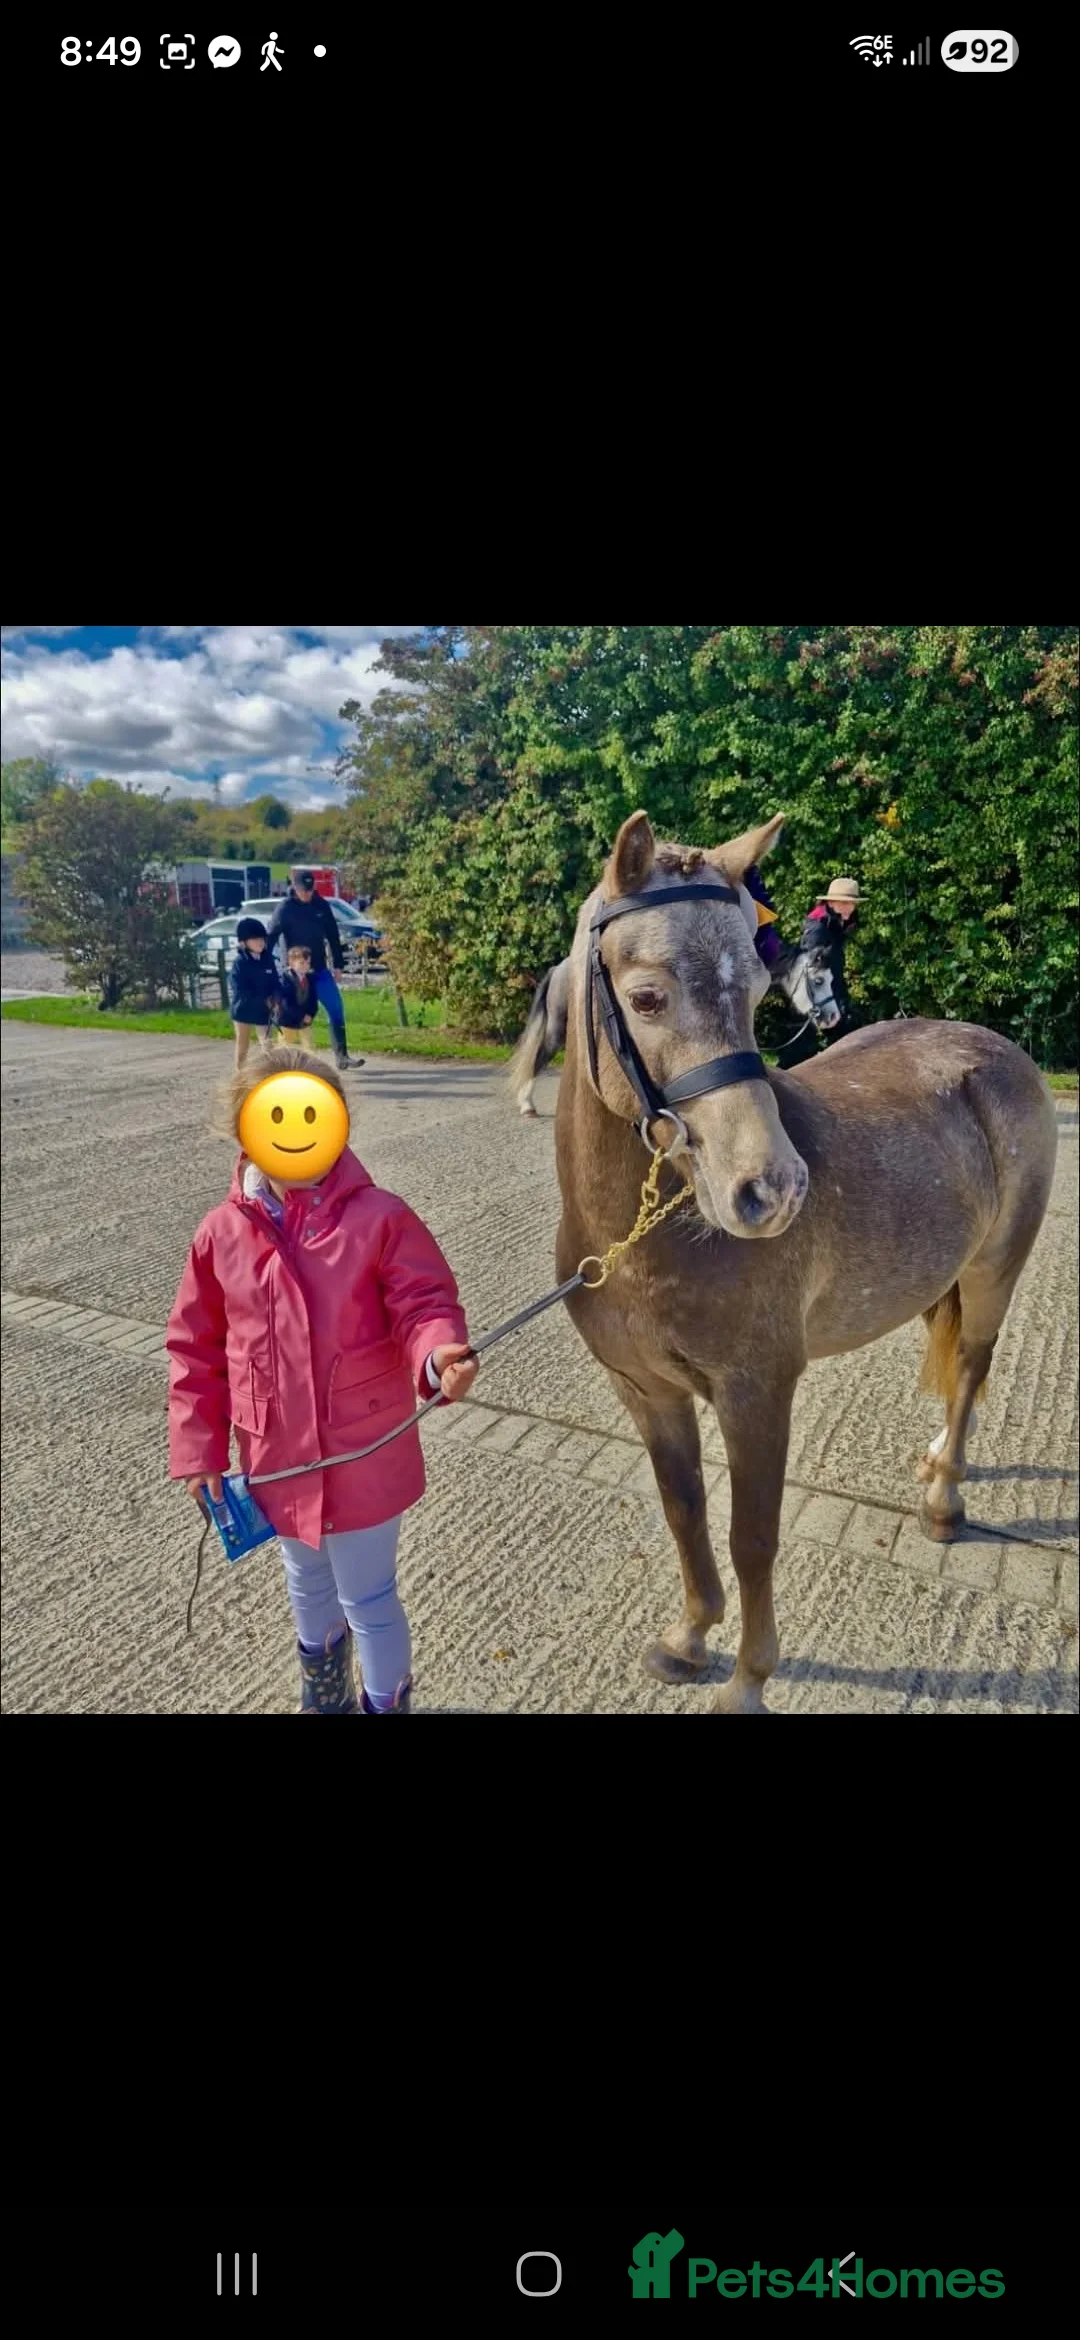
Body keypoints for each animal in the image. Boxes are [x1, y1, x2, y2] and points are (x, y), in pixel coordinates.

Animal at [549, 808, 1057, 1713]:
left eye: (758, 992)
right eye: (647, 997)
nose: (772, 1190)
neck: (639, 1242)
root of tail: (994, 1049)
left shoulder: (757, 1393)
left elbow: (751, 1536)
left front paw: (748, 1677)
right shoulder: (645, 1391)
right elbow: (684, 1510)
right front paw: (689, 1637)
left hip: (994, 1272)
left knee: (971, 1366)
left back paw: (944, 1498)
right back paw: (938, 1456)